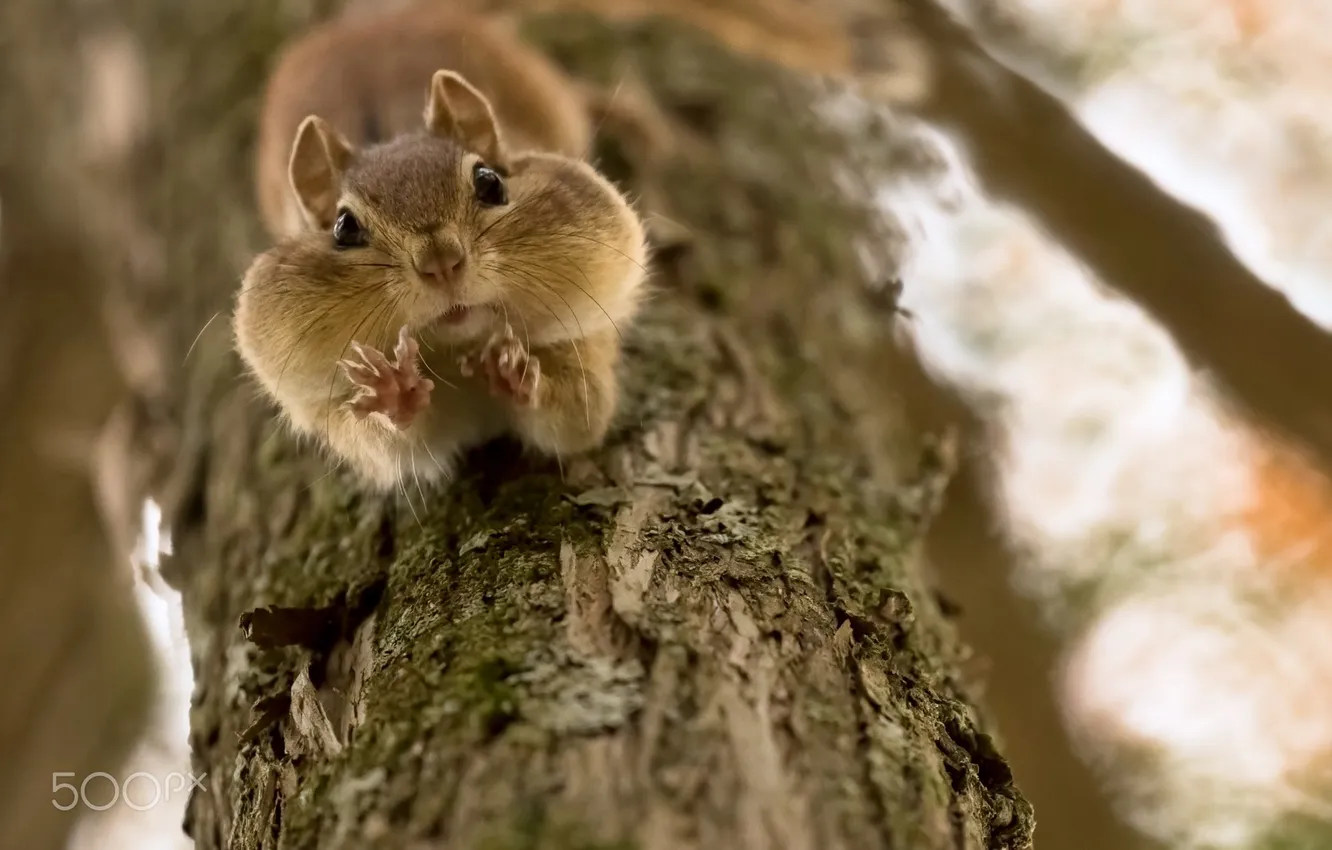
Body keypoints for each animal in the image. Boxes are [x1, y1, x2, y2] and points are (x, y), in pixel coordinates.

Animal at [234, 7, 648, 490]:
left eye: (490, 182)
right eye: (343, 228)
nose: (441, 263)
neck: (455, 352)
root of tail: (369, 18)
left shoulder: (582, 346)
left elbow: (578, 417)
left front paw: (515, 370)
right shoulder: (347, 421)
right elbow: (393, 446)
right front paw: (394, 392)